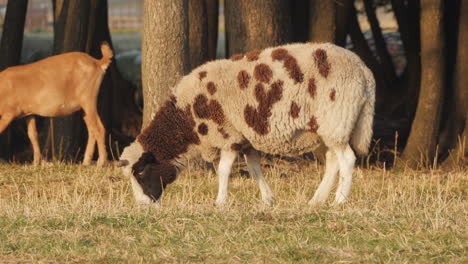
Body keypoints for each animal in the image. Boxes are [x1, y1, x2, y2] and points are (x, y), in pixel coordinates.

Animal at [119, 42, 374, 208]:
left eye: (140, 172)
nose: (143, 206)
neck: (187, 118)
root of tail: (365, 71)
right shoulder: (244, 138)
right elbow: (254, 168)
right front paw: (268, 199)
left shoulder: (228, 135)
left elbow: (223, 170)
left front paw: (220, 202)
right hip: (325, 129)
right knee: (332, 162)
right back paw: (316, 200)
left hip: (337, 119)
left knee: (347, 160)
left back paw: (339, 201)